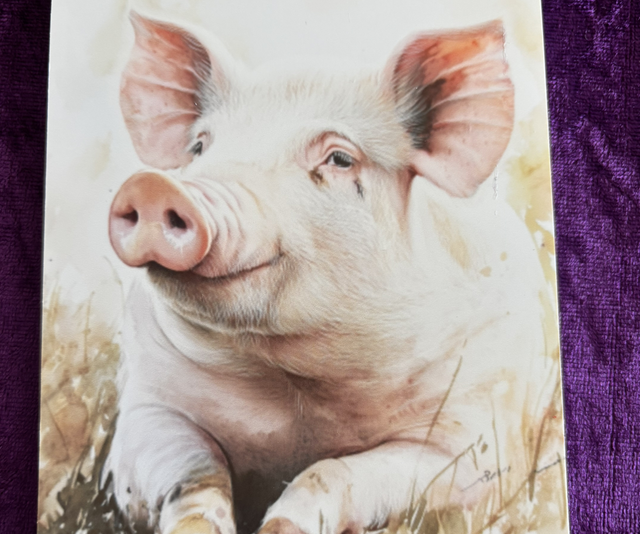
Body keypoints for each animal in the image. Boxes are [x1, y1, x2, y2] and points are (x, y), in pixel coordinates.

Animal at [105, 11, 559, 534]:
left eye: (339, 159)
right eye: (200, 147)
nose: (153, 187)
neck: (297, 387)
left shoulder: (475, 436)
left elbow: (333, 472)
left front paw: (279, 527)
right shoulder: (148, 401)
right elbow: (193, 474)